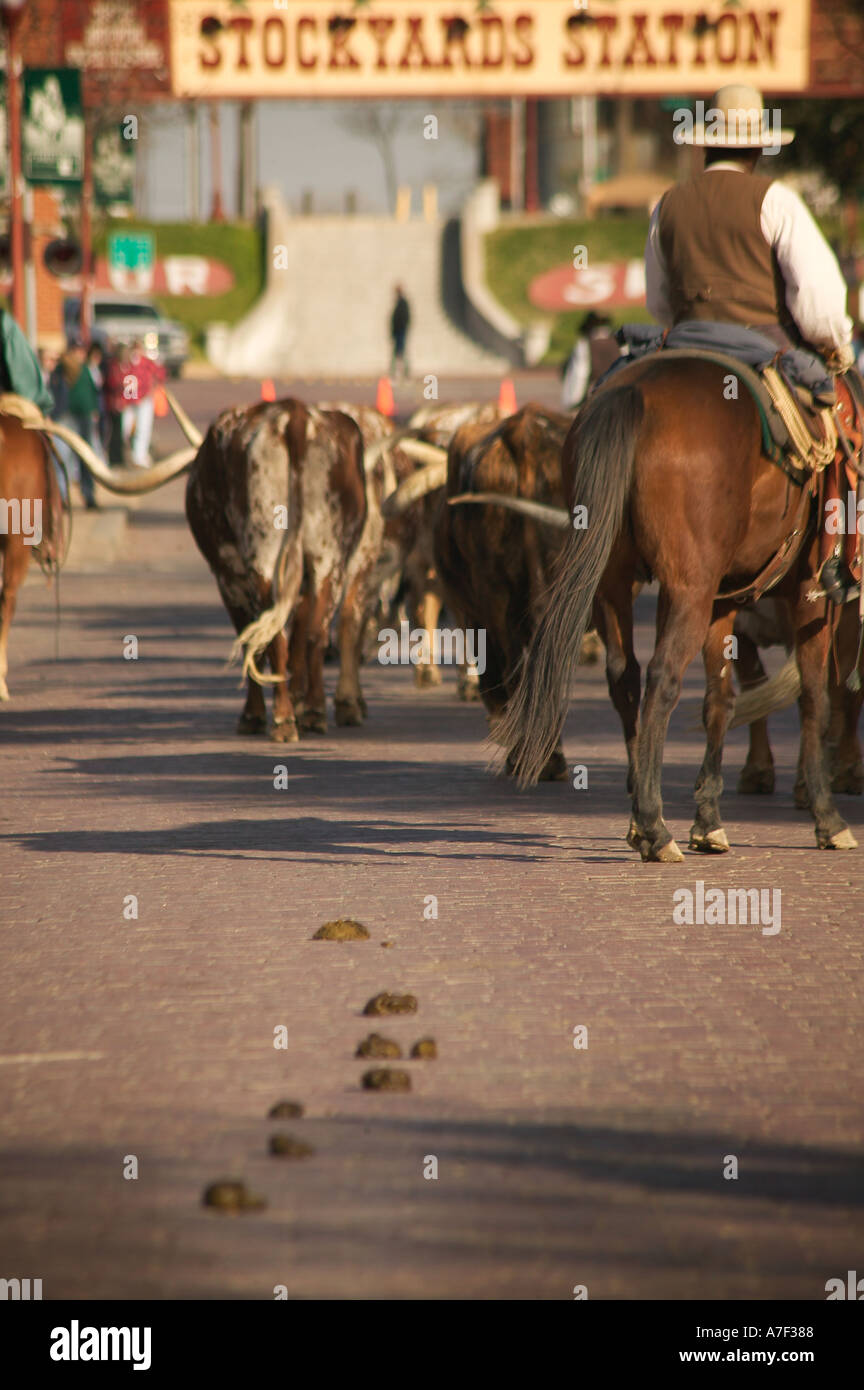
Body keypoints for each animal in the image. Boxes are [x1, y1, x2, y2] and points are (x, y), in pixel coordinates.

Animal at [500, 355, 861, 856]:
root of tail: (634, 393)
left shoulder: (722, 604)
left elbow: (720, 700)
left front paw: (708, 817)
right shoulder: (810, 595)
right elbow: (813, 697)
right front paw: (826, 815)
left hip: (615, 586)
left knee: (625, 676)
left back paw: (640, 815)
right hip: (688, 593)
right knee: (662, 677)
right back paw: (653, 825)